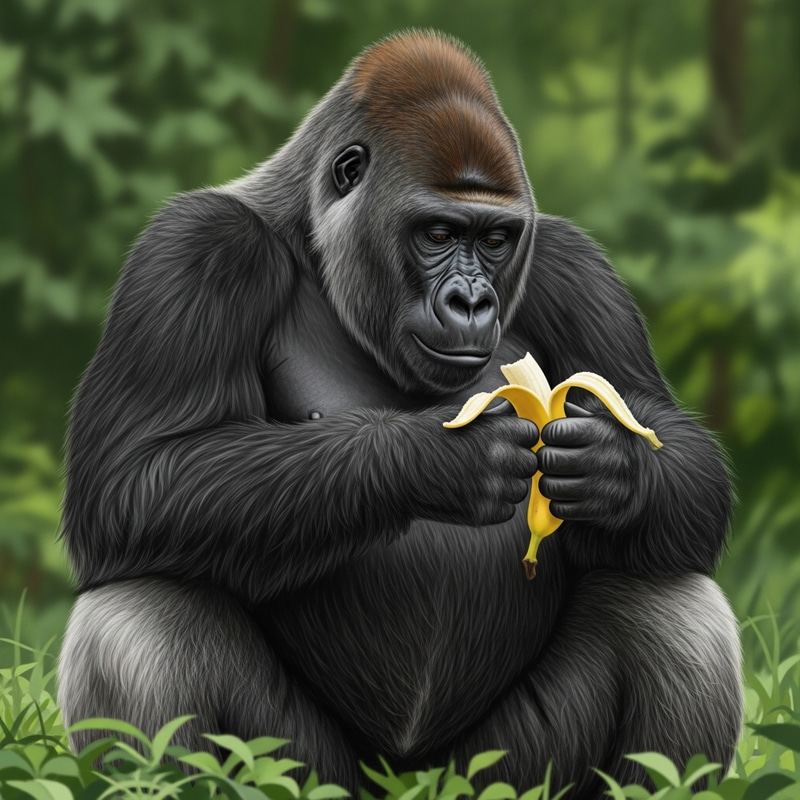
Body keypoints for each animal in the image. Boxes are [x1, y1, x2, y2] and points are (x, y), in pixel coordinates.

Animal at [58, 32, 742, 799]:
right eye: (439, 232)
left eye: (496, 240)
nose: (471, 301)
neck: (311, 240)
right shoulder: (197, 248)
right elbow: (132, 477)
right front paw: (432, 459)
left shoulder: (575, 269)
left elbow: (676, 452)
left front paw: (613, 469)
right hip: (316, 773)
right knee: (144, 611)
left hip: (497, 776)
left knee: (668, 602)